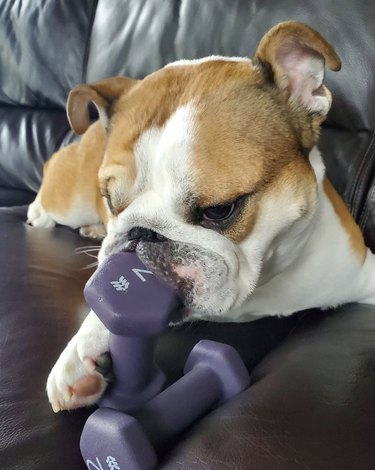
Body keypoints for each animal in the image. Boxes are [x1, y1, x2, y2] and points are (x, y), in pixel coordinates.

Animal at [27, 22, 375, 412]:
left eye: (219, 210)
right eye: (111, 202)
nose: (140, 233)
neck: (260, 284)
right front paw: (79, 351)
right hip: (70, 199)